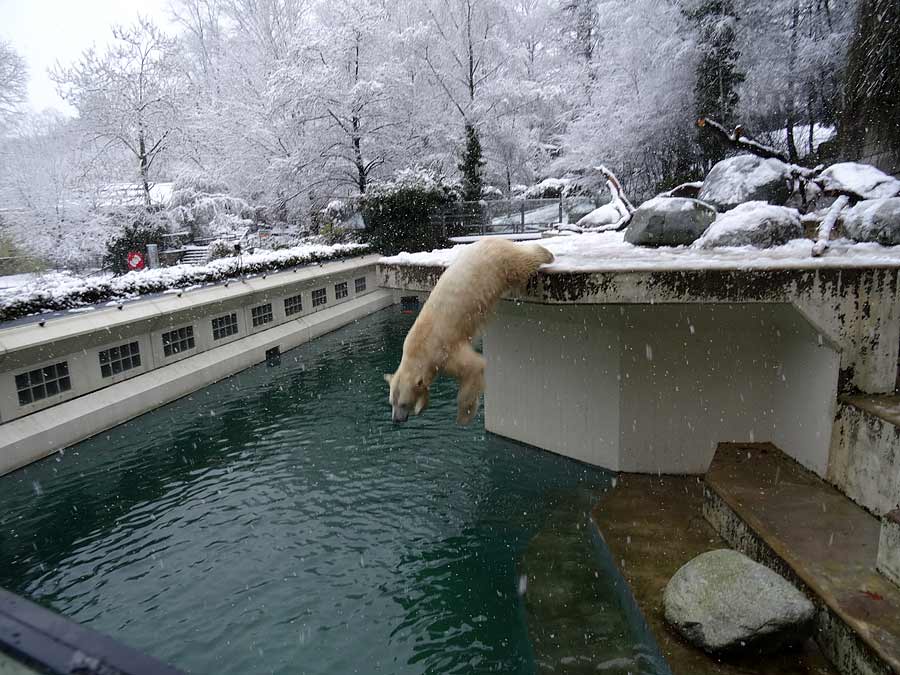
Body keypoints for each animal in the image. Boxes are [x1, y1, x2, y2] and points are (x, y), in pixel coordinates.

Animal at [384, 238, 552, 426]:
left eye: (404, 404)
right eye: (391, 402)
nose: (396, 420)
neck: (418, 350)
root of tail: (492, 239)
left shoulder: (443, 352)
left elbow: (474, 367)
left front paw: (465, 415)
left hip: (500, 266)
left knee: (523, 263)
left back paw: (546, 254)